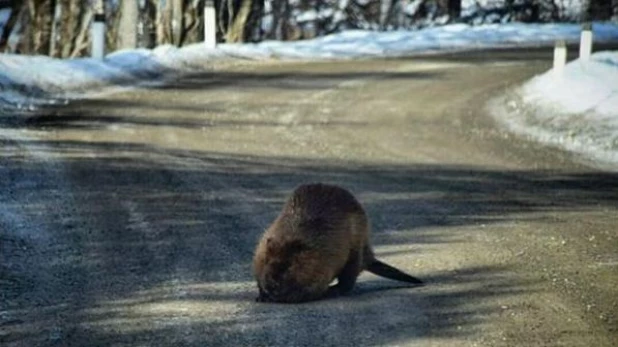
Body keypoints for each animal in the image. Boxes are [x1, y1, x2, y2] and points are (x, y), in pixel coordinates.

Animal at [253, 184, 422, 304]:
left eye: (289, 265)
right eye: (267, 261)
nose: (272, 284)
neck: (294, 234)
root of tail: (369, 257)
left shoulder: (323, 258)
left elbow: (313, 286)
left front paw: (281, 295)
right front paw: (262, 295)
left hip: (356, 249)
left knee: (348, 281)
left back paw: (333, 290)